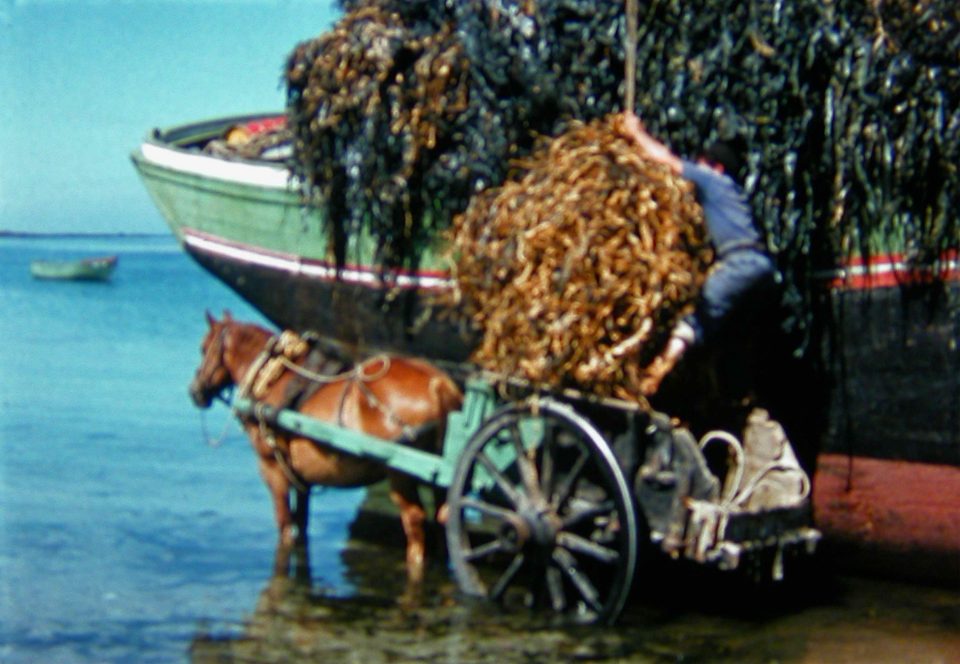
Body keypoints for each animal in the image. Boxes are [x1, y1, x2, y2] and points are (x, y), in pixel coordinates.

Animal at [188, 312, 464, 580]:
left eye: (203, 348)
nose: (195, 391)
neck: (274, 380)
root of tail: (439, 384)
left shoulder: (273, 470)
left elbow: (285, 526)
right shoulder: (301, 479)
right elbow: (301, 523)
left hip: (400, 473)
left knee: (415, 519)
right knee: (445, 516)